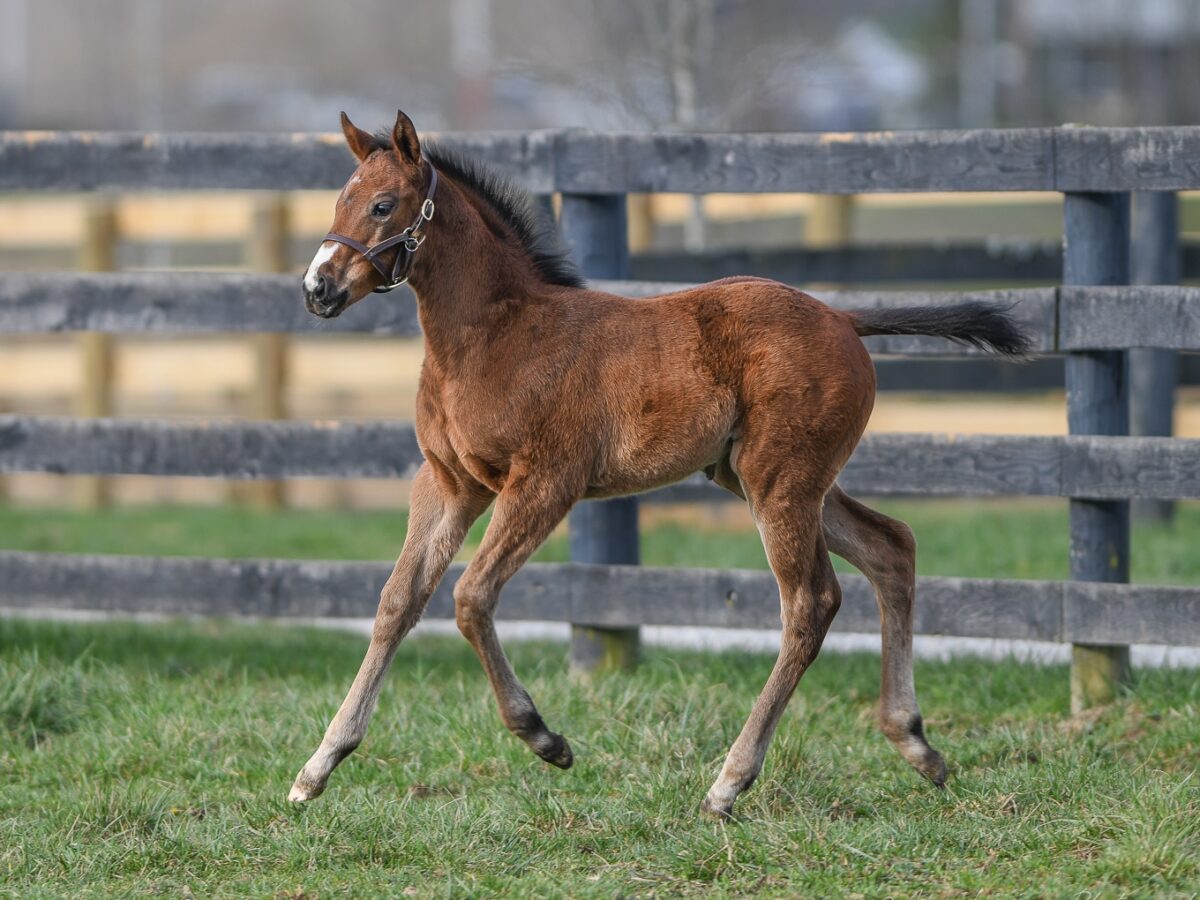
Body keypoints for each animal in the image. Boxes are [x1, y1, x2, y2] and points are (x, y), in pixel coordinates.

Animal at [292, 111, 1032, 816]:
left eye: (383, 205)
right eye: (340, 199)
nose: (317, 288)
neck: (495, 336)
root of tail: (842, 318)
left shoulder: (545, 483)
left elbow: (470, 597)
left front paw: (544, 738)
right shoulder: (450, 485)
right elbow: (397, 601)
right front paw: (318, 767)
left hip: (780, 480)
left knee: (811, 602)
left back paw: (729, 783)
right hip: (765, 478)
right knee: (891, 547)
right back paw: (916, 744)